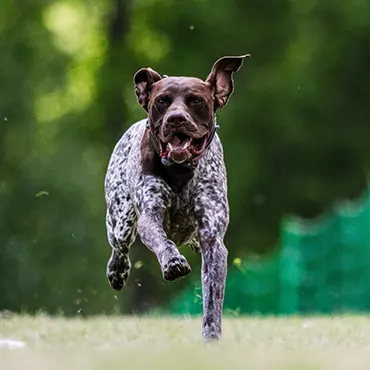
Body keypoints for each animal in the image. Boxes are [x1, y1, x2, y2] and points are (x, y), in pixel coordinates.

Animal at [104, 53, 249, 340]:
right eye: (162, 101)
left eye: (196, 100)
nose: (176, 119)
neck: (181, 170)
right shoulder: (150, 216)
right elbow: (163, 242)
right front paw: (173, 262)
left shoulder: (212, 237)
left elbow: (212, 296)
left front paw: (211, 334)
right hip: (122, 220)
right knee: (119, 246)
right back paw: (117, 271)